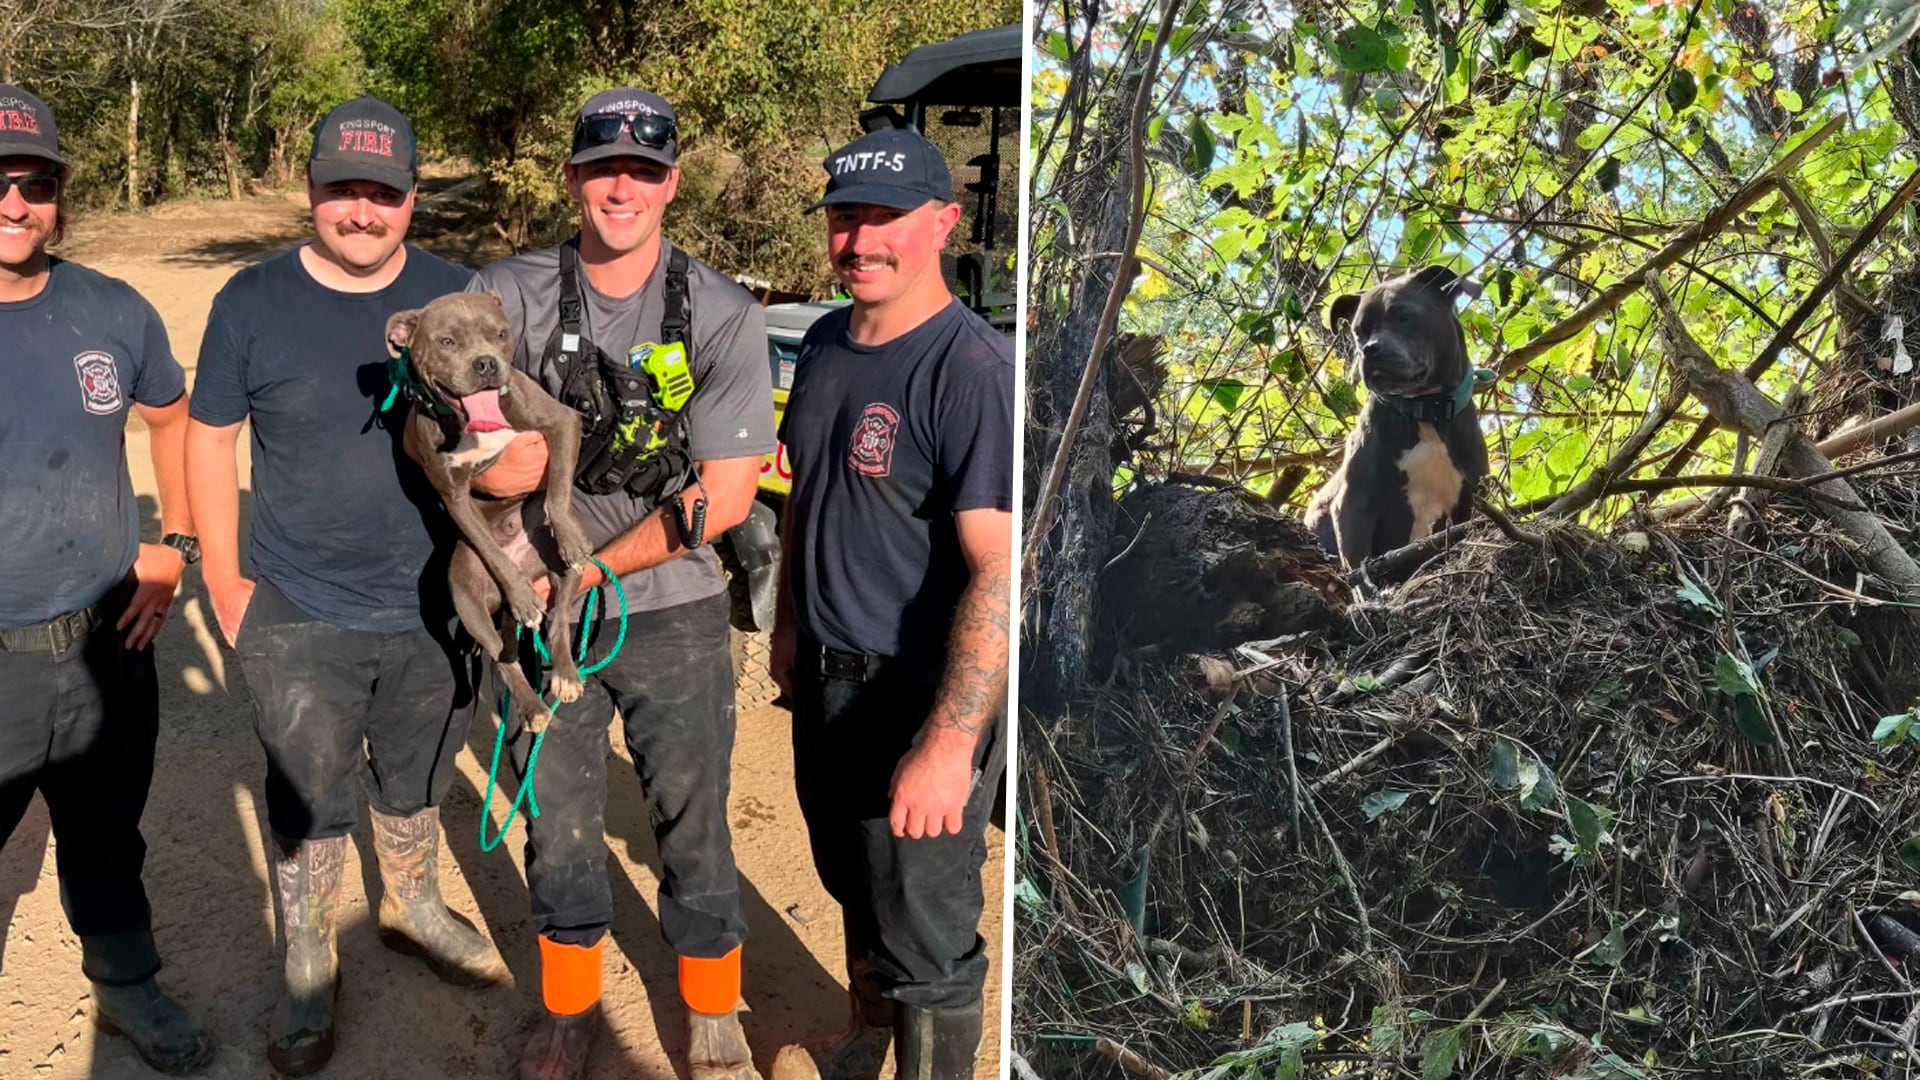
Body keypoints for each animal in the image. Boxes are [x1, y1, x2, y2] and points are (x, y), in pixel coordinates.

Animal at [385, 290, 595, 726]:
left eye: (500, 334)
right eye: (447, 342)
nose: (486, 363)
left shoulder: (562, 422)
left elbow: (556, 492)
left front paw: (567, 531)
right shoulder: (453, 493)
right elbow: (492, 550)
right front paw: (521, 595)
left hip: (566, 569)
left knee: (558, 623)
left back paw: (566, 675)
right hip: (466, 596)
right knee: (503, 657)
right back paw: (533, 706)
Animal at [1297, 263, 1489, 564]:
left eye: (1404, 316)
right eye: (1358, 332)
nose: (1369, 349)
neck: (1425, 410)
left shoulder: (1470, 500)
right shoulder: (1353, 504)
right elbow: (1357, 566)